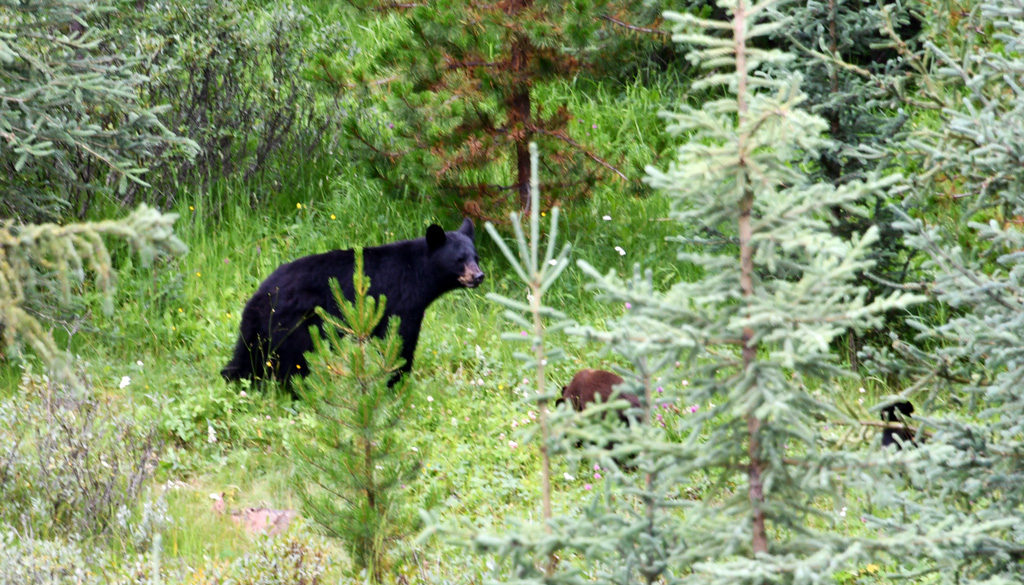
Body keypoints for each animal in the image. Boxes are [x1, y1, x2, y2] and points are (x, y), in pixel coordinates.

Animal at [221, 218, 483, 389]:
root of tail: (261, 295)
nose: (478, 276)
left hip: (258, 329)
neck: (419, 274)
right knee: (293, 362)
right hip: (295, 324)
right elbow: (400, 341)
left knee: (246, 358)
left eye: (476, 257)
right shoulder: (403, 302)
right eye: (460, 259)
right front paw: (397, 381)